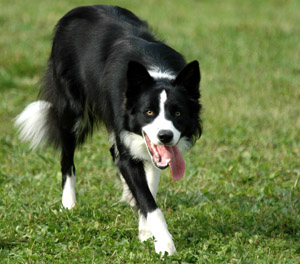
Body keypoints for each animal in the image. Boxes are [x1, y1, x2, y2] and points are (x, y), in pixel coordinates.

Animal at [14, 4, 202, 256]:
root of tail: (83, 7)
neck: (157, 74)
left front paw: (146, 231)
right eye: (149, 112)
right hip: (71, 110)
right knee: (67, 158)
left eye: (178, 113)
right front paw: (165, 244)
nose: (165, 136)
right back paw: (68, 204)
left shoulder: (149, 147)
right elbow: (148, 200)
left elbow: (148, 186)